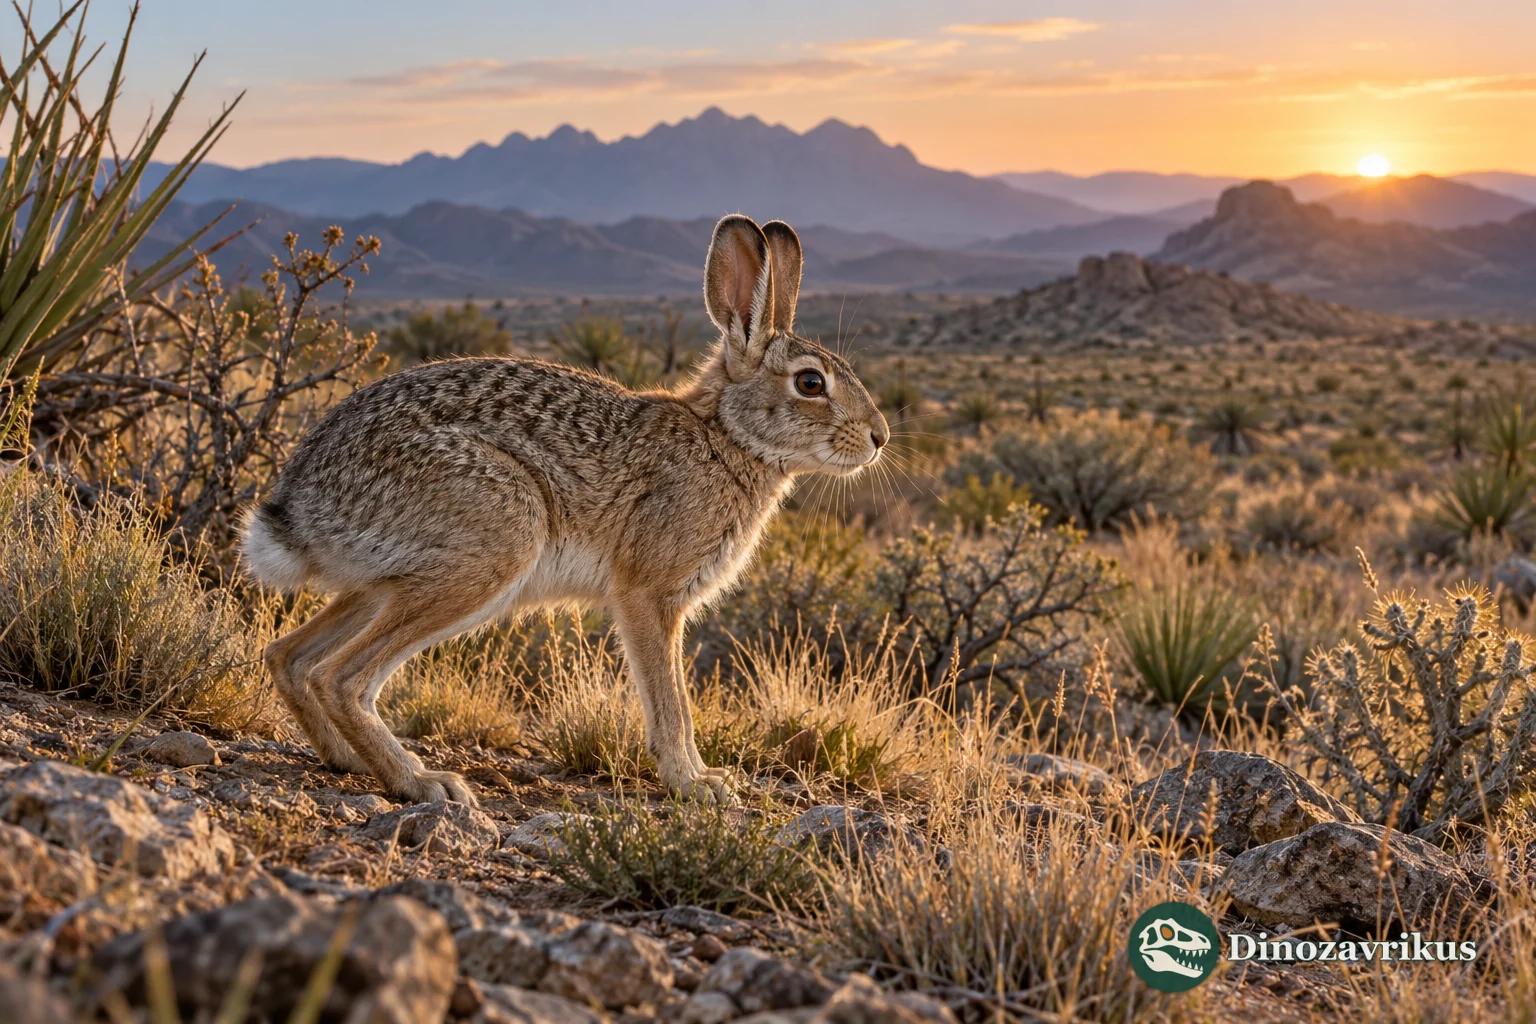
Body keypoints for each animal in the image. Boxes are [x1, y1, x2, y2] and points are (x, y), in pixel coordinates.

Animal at [242, 215, 890, 806]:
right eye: (810, 383)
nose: (879, 437)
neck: (727, 436)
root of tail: (299, 504)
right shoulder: (647, 592)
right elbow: (670, 701)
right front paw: (697, 784)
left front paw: (701, 779)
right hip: (492, 545)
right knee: (343, 677)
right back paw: (422, 782)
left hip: (390, 581)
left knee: (291, 657)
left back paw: (349, 760)